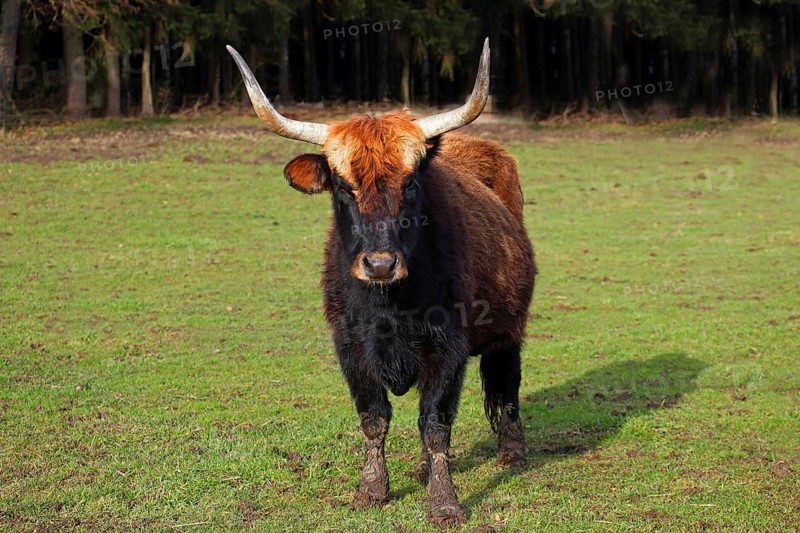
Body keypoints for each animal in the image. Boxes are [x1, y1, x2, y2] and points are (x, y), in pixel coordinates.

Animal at [227, 38, 536, 527]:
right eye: (342, 186)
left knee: (507, 380)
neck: (389, 307)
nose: (379, 264)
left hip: (510, 327)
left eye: (409, 183)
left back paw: (512, 450)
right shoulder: (350, 347)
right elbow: (374, 417)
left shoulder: (448, 347)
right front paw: (372, 489)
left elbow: (435, 423)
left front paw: (444, 503)